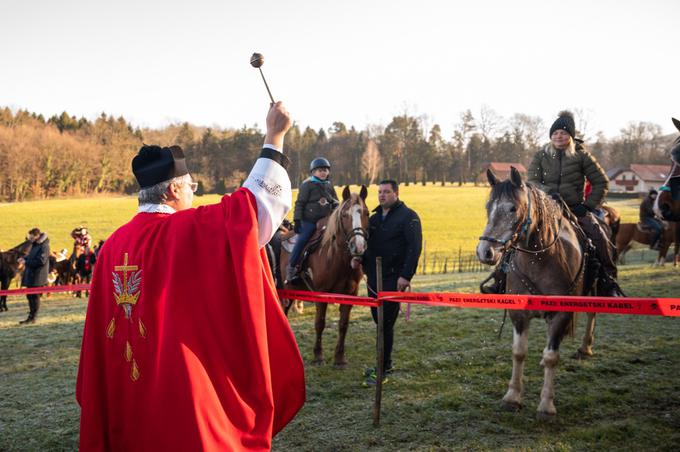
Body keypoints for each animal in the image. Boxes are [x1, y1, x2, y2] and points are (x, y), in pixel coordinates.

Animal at [280, 185, 370, 366]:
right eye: (345, 215)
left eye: (367, 213)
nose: (358, 246)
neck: (337, 258)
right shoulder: (321, 294)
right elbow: (319, 323)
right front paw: (318, 355)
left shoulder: (350, 293)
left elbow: (343, 324)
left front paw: (340, 358)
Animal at [478, 168, 596, 418]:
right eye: (488, 206)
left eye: (513, 208)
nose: (485, 251)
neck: (542, 260)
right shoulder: (519, 315)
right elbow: (519, 352)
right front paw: (512, 397)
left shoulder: (561, 315)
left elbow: (551, 357)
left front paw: (546, 405)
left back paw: (585, 348)